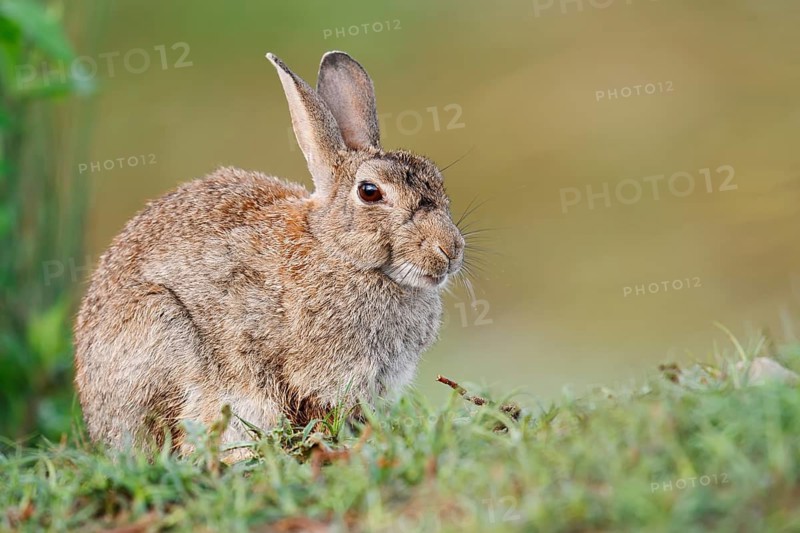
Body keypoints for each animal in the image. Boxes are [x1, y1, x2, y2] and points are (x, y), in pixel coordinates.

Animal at [73, 51, 465, 453]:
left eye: (437, 179)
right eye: (370, 192)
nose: (450, 249)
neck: (337, 251)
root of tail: (99, 423)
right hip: (160, 329)